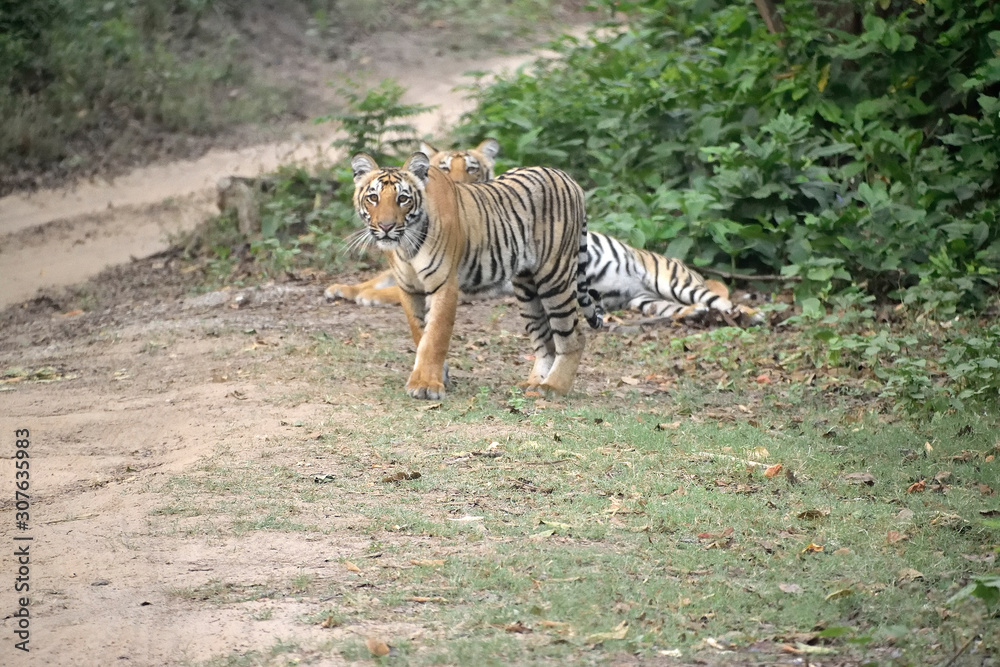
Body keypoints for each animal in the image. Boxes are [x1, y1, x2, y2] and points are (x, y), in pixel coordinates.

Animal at [327, 141, 760, 324]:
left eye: (471, 167)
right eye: (443, 166)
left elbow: (384, 290)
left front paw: (364, 296)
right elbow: (377, 279)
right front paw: (343, 288)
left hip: (667, 277)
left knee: (718, 294)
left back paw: (747, 314)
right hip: (648, 301)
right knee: (688, 306)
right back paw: (699, 316)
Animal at [349, 150, 601, 399]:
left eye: (403, 199)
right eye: (373, 198)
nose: (386, 227)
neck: (406, 245)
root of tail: (568, 178)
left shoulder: (445, 285)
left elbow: (435, 337)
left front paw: (427, 385)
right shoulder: (409, 289)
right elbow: (419, 333)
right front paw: (437, 375)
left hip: (555, 277)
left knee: (574, 336)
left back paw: (553, 387)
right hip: (527, 290)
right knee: (546, 342)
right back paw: (533, 384)